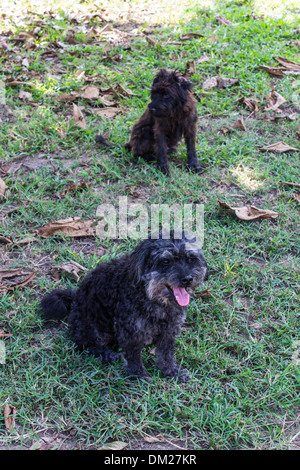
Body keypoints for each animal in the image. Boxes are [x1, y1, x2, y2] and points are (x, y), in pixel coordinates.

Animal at [40, 231, 209, 382]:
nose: (188, 279)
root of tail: (74, 299)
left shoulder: (169, 329)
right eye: (166, 261)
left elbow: (166, 354)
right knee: (85, 343)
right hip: (94, 328)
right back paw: (107, 354)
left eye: (190, 259)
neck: (152, 298)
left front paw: (172, 372)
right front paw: (138, 375)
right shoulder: (130, 331)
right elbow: (133, 356)